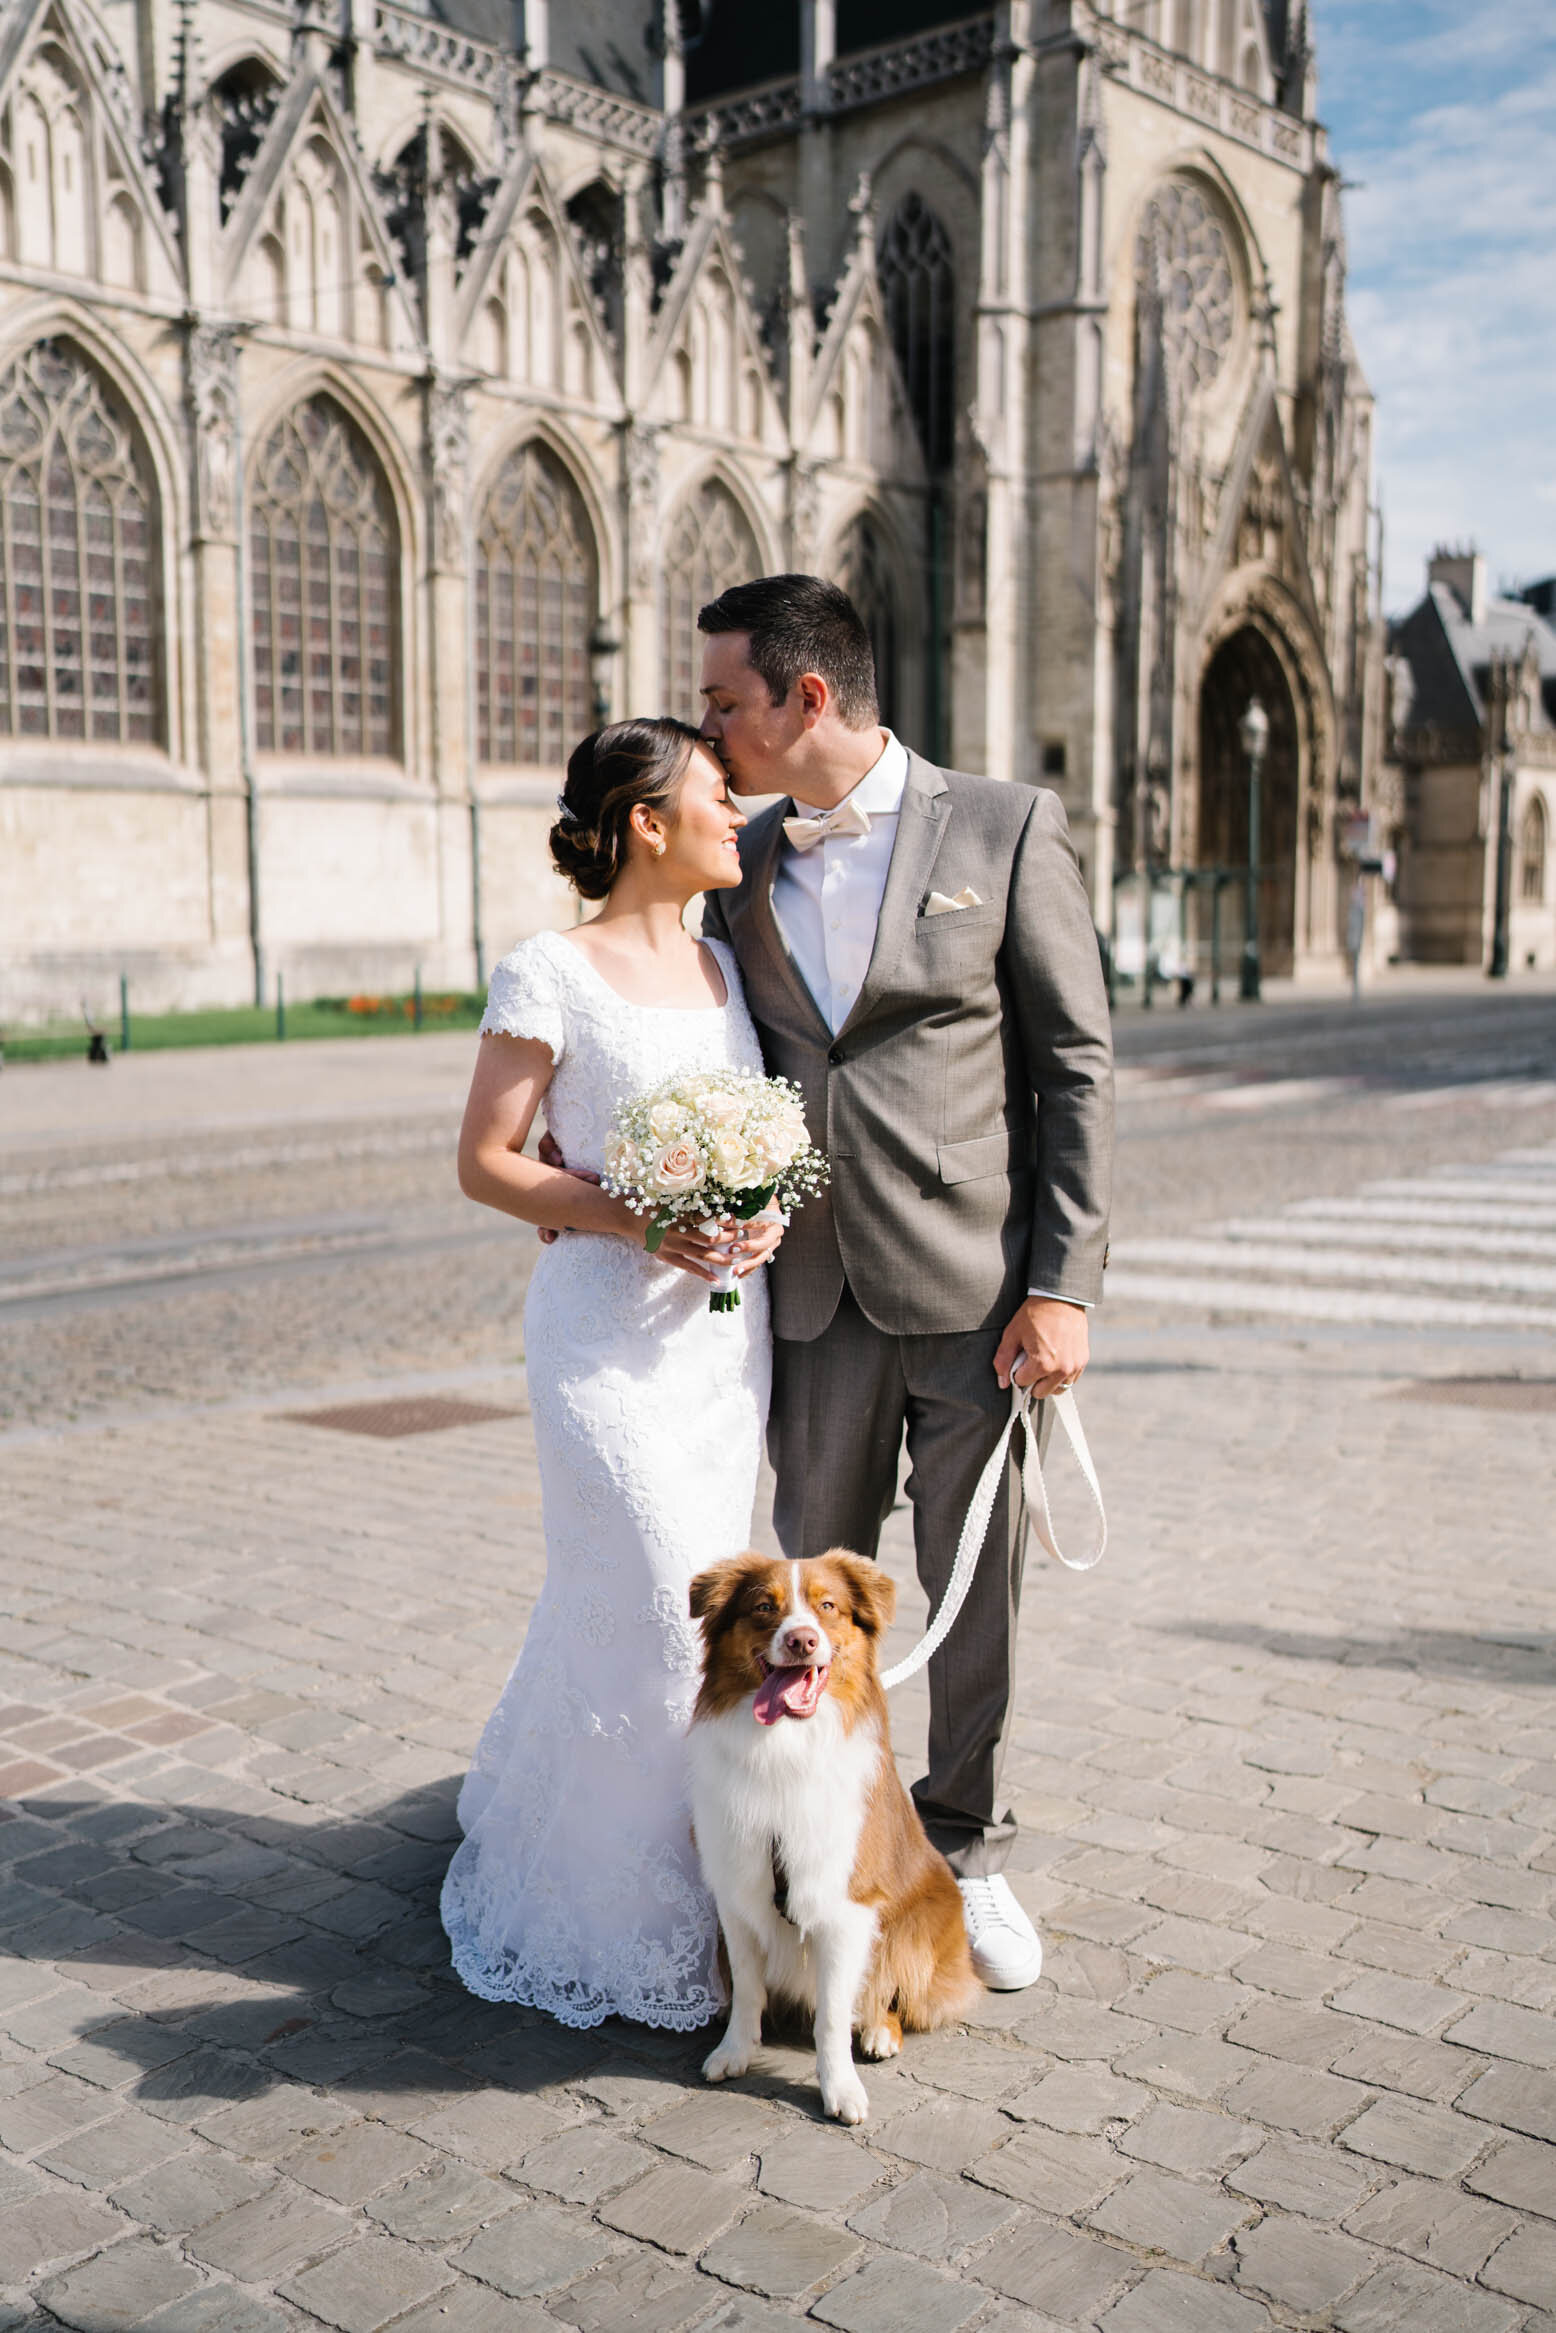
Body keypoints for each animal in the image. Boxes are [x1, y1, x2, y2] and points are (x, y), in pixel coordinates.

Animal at [690, 1558, 979, 2127]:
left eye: (828, 1607)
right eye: (764, 1606)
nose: (801, 1640)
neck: (785, 1746)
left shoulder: (847, 1907)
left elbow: (832, 2014)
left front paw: (841, 2089)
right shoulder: (737, 1892)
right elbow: (749, 1986)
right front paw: (734, 2051)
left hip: (915, 1925)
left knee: (889, 1994)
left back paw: (879, 2033)